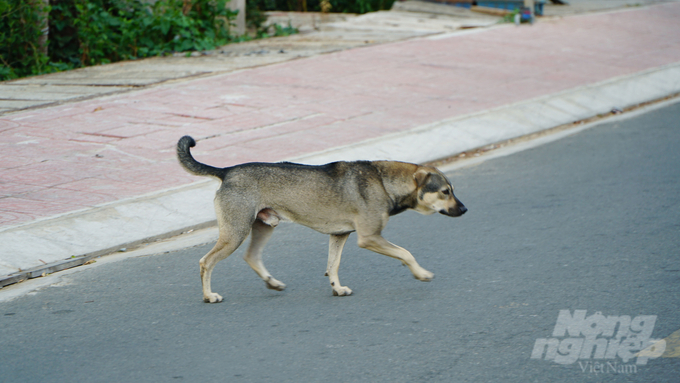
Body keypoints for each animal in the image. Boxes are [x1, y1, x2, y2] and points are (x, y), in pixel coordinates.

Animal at [175, 136, 464, 304]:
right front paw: (421, 273)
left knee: (251, 256)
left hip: (263, 226)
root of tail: (226, 171)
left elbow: (332, 265)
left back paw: (272, 282)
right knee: (206, 262)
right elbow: (406, 253)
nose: (464, 209)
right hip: (235, 232)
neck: (384, 181)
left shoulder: (339, 235)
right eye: (445, 192)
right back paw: (208, 296)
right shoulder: (369, 238)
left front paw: (337, 288)